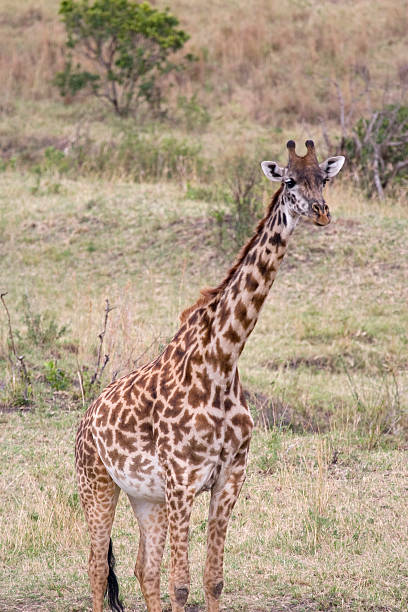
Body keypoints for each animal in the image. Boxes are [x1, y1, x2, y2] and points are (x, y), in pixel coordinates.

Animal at [74, 140, 344, 612]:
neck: (222, 359)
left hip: (146, 497)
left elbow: (212, 580)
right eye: (290, 181)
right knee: (96, 567)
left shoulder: (230, 477)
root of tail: (84, 421)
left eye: (323, 180)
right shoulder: (183, 481)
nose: (320, 212)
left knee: (144, 570)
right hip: (97, 483)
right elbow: (182, 585)